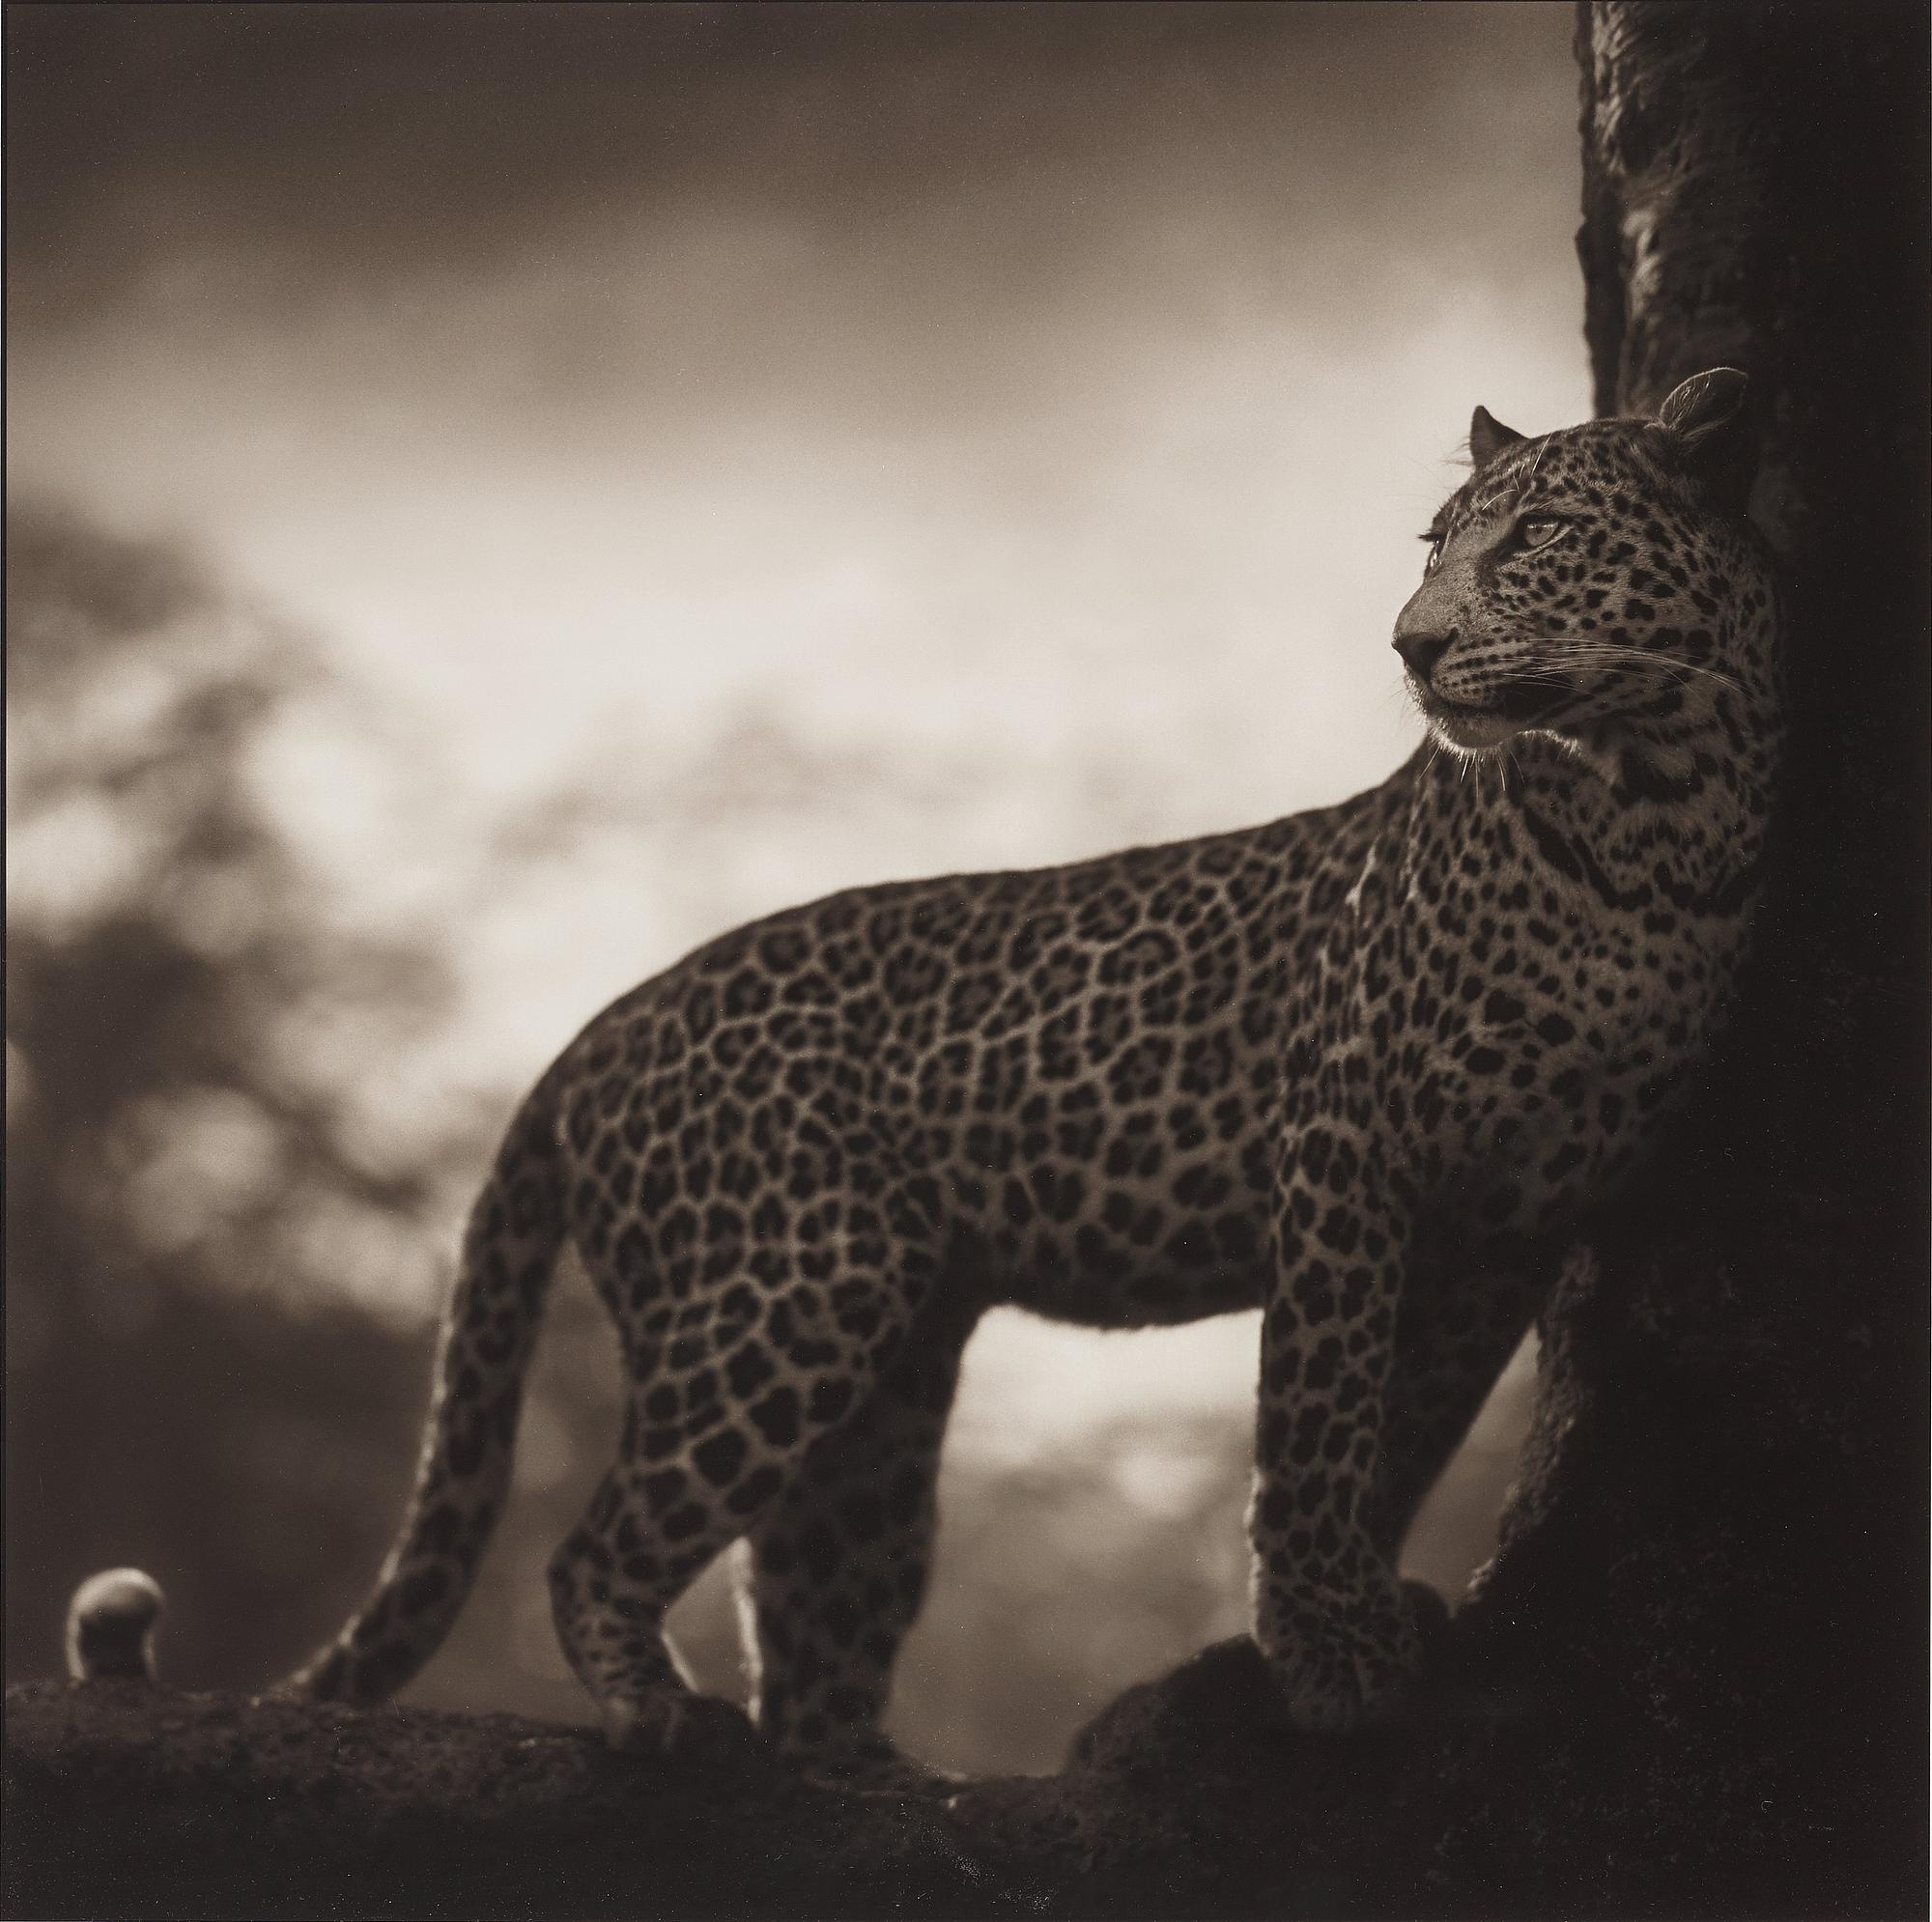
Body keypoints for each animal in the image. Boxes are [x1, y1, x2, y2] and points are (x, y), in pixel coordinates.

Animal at [84, 368, 1781, 1794]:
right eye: (1436, 544)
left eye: (1541, 537)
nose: (1411, 643)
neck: (1656, 817)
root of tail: (597, 1025)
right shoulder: (1346, 1149)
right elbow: (1312, 1422)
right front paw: (1325, 1653)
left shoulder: (1510, 1218)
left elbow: (1405, 1424)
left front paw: (1361, 1604)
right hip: (786, 1293)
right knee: (596, 1546)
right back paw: (655, 1713)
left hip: (885, 1383)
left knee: (815, 1606)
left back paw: (864, 1777)